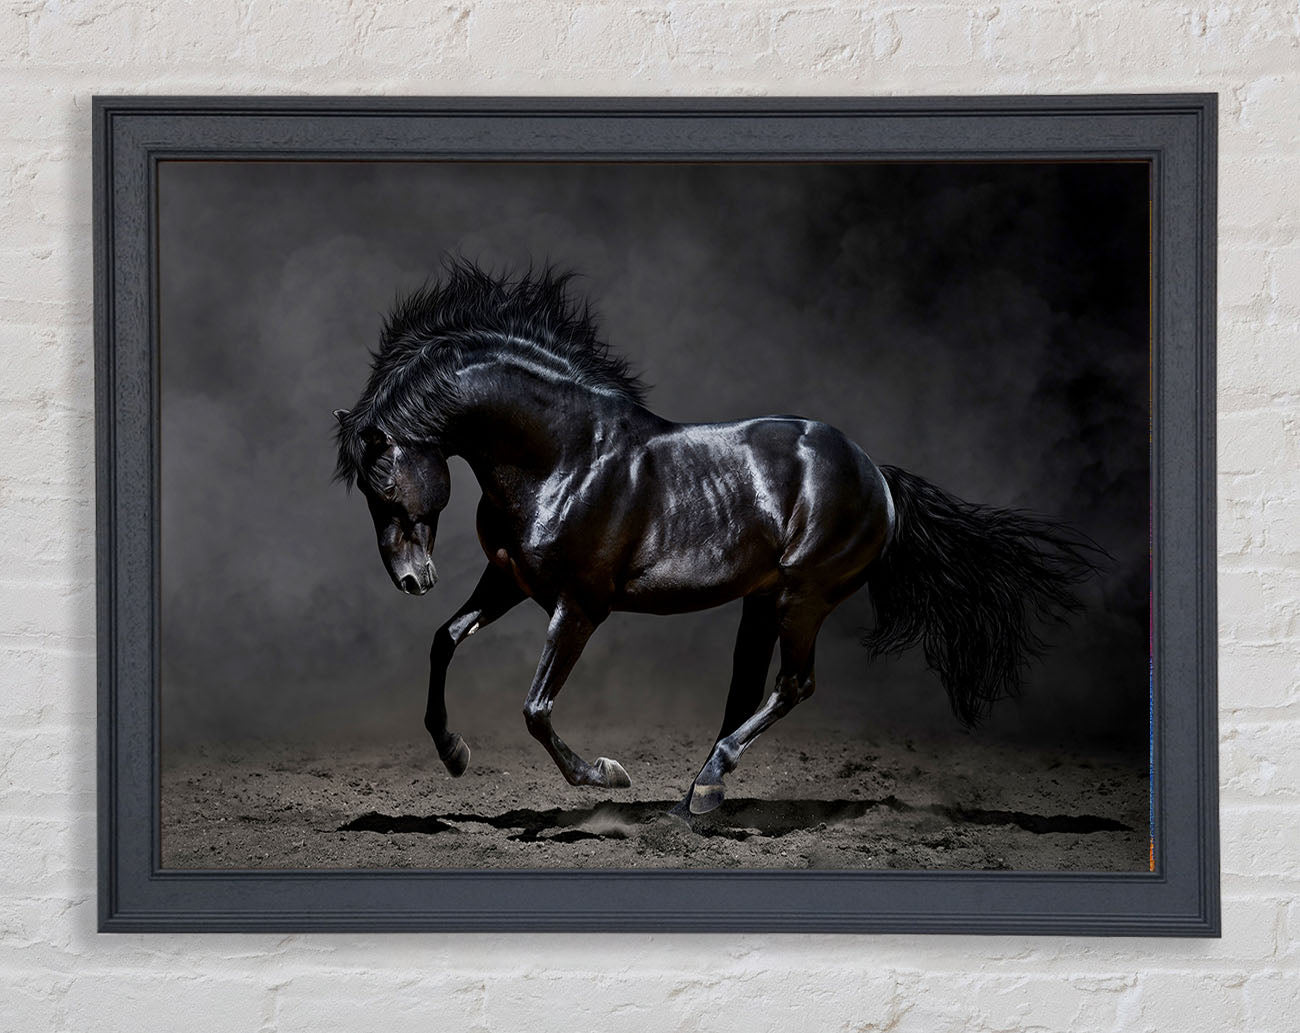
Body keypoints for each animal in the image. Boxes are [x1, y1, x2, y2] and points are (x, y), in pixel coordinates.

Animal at [334, 260, 1101, 815]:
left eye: (384, 486)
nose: (412, 579)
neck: (564, 456)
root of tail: (876, 474)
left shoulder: (579, 605)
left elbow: (535, 707)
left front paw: (606, 775)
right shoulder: (510, 580)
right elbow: (444, 640)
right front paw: (453, 752)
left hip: (803, 597)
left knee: (793, 685)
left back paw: (705, 788)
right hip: (763, 600)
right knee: (748, 691)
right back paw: (700, 793)